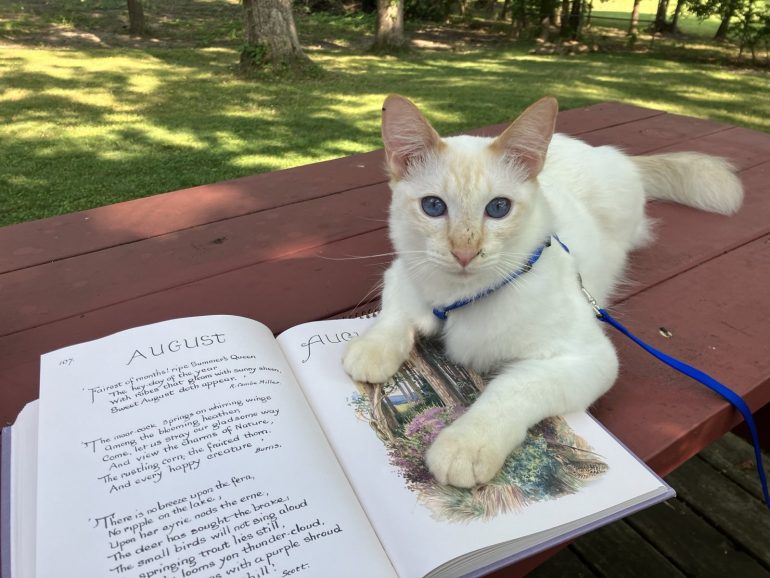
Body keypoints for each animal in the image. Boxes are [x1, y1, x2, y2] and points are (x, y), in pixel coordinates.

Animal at [340, 94, 736, 486]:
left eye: (498, 208)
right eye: (433, 206)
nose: (464, 253)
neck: (460, 300)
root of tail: (601, 150)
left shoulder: (589, 358)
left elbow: (512, 388)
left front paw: (466, 444)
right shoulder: (401, 272)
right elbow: (394, 315)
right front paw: (370, 350)